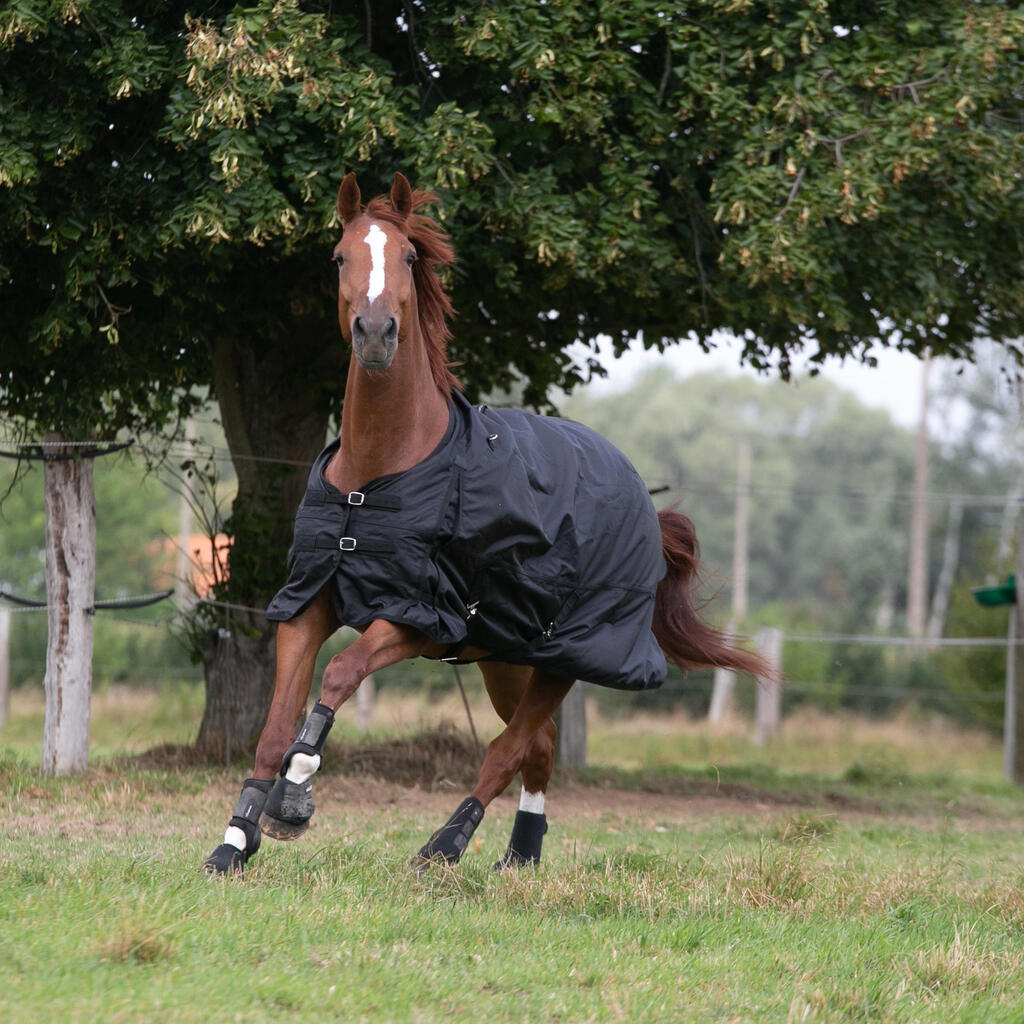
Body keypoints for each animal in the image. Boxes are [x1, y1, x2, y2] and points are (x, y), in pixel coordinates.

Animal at [199, 172, 765, 876]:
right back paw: (520, 855)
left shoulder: (416, 618)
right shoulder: (308, 603)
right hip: (505, 657)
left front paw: (293, 800)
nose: (376, 333)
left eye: (409, 256)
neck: (376, 477)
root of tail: (639, 496)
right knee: (538, 746)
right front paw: (234, 842)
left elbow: (340, 674)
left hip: (562, 657)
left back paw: (443, 847)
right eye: (338, 256)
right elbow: (274, 727)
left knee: (509, 749)